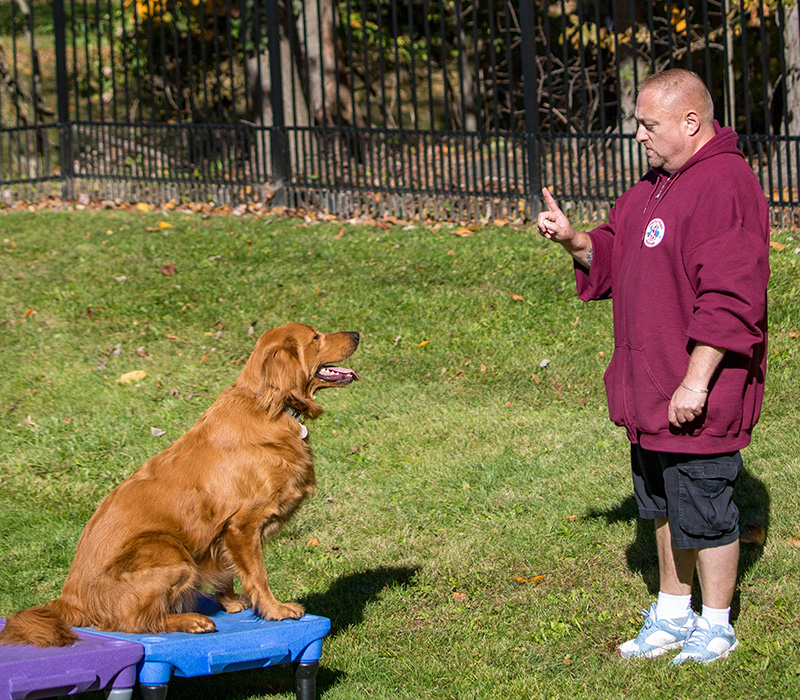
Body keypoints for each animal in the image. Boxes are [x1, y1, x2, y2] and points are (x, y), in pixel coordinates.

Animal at [0, 322, 356, 644]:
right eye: (316, 337)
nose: (356, 334)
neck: (268, 405)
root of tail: (68, 600)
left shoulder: (223, 534)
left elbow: (227, 571)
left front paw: (231, 603)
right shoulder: (242, 525)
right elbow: (257, 575)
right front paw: (275, 610)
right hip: (168, 550)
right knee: (135, 622)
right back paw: (190, 620)